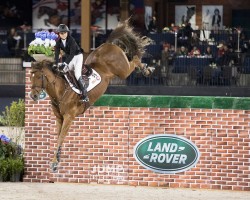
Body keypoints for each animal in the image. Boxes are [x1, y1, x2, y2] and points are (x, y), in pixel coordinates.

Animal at [30, 19, 153, 171]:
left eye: (39, 77)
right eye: (31, 77)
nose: (33, 96)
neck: (60, 91)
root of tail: (109, 44)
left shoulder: (69, 117)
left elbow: (60, 137)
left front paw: (54, 163)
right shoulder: (59, 118)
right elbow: (59, 137)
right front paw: (57, 159)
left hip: (122, 71)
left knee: (135, 59)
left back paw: (146, 69)